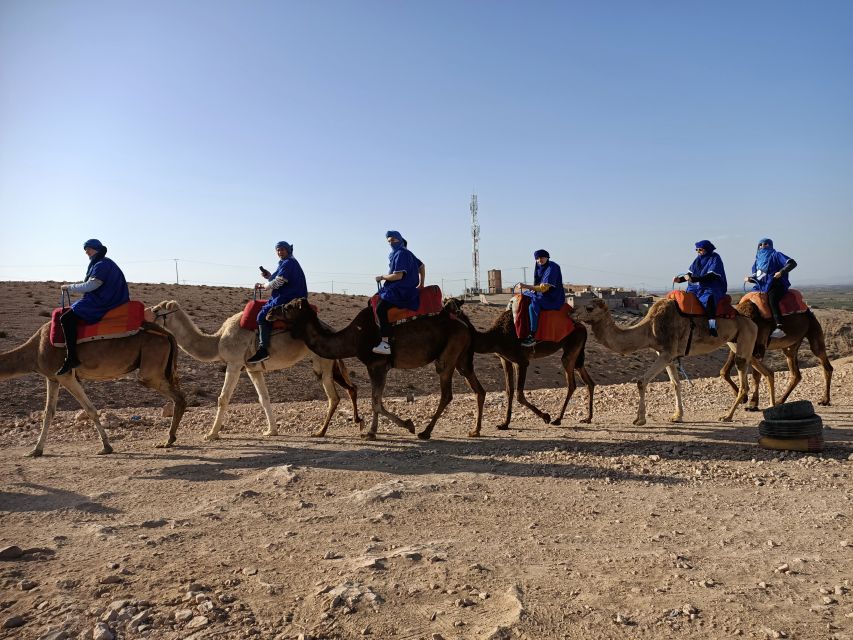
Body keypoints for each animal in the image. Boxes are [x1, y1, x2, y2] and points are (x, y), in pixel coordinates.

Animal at [0, 320, 186, 456]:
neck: (35, 350)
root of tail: (168, 334)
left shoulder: (65, 375)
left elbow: (90, 410)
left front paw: (106, 447)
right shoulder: (52, 378)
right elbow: (48, 413)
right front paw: (36, 450)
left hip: (150, 370)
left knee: (179, 397)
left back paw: (168, 440)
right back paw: (170, 439)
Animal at [147, 300, 360, 440]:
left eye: (156, 309)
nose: (146, 315)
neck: (218, 340)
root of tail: (331, 330)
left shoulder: (234, 364)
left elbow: (223, 398)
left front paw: (211, 434)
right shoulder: (252, 369)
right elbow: (263, 398)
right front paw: (271, 431)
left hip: (322, 361)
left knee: (333, 396)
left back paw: (321, 431)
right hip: (328, 362)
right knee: (350, 388)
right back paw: (358, 423)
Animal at [272, 298, 486, 440]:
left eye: (288, 306)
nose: (269, 311)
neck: (354, 337)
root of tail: (465, 324)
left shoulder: (378, 364)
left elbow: (376, 402)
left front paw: (407, 425)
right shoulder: (374, 366)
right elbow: (377, 400)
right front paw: (372, 432)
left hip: (448, 355)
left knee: (447, 393)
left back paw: (426, 431)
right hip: (462, 357)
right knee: (478, 389)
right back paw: (475, 430)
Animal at [442, 300, 596, 430]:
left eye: (451, 306)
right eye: (445, 303)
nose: (440, 313)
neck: (496, 337)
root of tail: (582, 326)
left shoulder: (521, 361)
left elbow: (519, 394)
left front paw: (545, 416)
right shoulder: (505, 360)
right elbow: (509, 391)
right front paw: (504, 424)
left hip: (572, 346)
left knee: (571, 383)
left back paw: (557, 419)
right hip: (577, 352)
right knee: (588, 381)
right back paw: (587, 418)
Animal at [572, 298, 764, 428]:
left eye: (589, 307)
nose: (572, 313)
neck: (648, 329)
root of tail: (752, 322)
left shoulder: (666, 352)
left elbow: (641, 381)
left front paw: (640, 419)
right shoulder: (668, 354)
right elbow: (675, 383)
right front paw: (677, 416)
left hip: (745, 339)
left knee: (744, 377)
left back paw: (727, 416)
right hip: (735, 342)